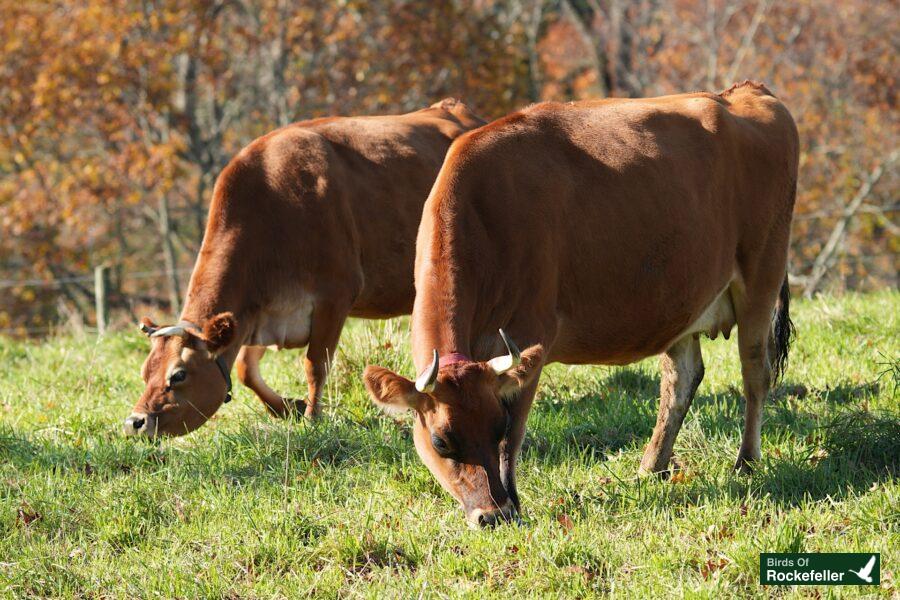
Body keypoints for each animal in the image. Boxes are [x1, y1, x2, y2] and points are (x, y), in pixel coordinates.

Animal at [126, 98, 486, 436]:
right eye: (144, 371)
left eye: (178, 374)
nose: (135, 422)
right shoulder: (262, 315)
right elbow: (245, 369)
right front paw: (288, 407)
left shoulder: (335, 295)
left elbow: (315, 364)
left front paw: (313, 418)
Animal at [362, 82, 800, 528]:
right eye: (441, 441)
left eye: (495, 426)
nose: (492, 514)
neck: (487, 217)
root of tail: (744, 92)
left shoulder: (531, 335)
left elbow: (515, 436)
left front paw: (515, 502)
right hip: (682, 299)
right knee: (681, 380)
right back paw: (651, 467)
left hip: (762, 275)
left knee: (755, 373)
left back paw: (745, 462)